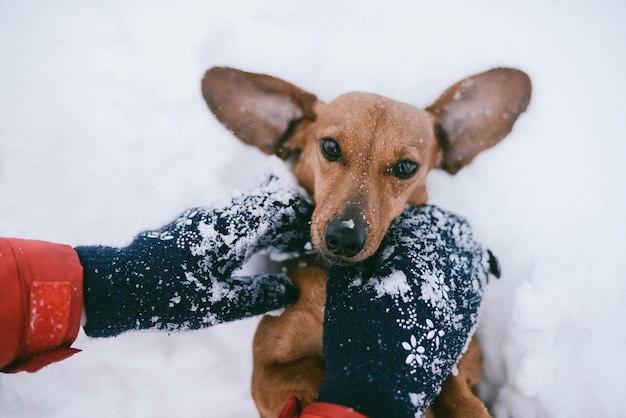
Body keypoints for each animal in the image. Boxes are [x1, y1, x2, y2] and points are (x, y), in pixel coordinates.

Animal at [200, 67, 528, 416]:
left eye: (406, 167)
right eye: (330, 147)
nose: (344, 238)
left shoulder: (464, 365)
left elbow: (461, 398)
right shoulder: (267, 369)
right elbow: (311, 371)